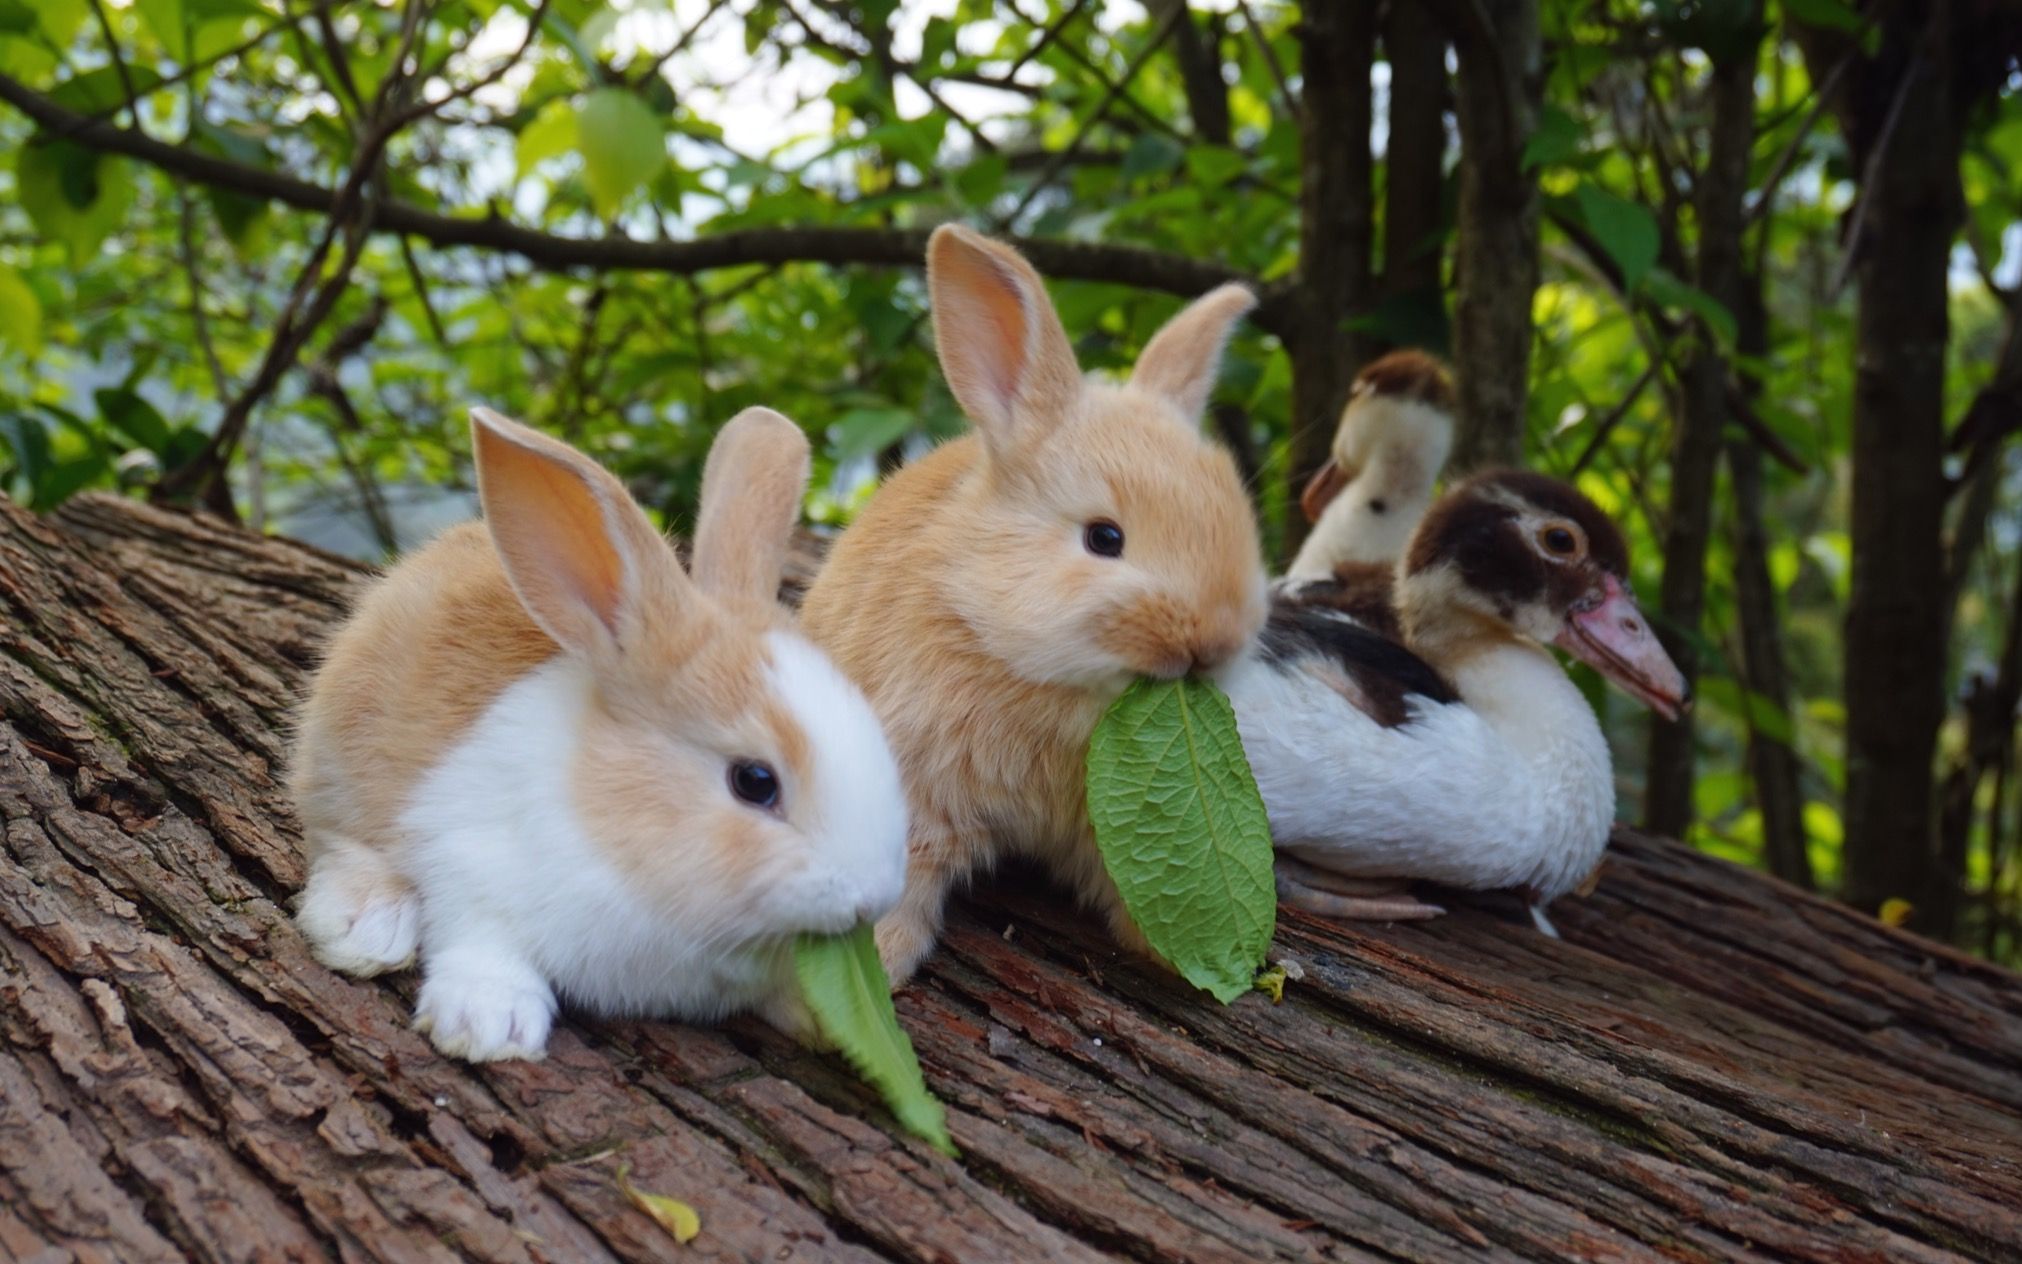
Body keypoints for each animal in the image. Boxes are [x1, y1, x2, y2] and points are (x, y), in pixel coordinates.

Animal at [287, 402, 909, 1051]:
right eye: (754, 782)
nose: (873, 897)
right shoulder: (473, 863)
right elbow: (481, 937)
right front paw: (489, 1025)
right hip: (341, 758)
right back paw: (365, 928)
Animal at [800, 224, 1261, 986]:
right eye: (1104, 538)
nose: (1213, 645)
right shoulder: (915, 797)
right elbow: (910, 879)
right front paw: (888, 963)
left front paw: (1160, 947)